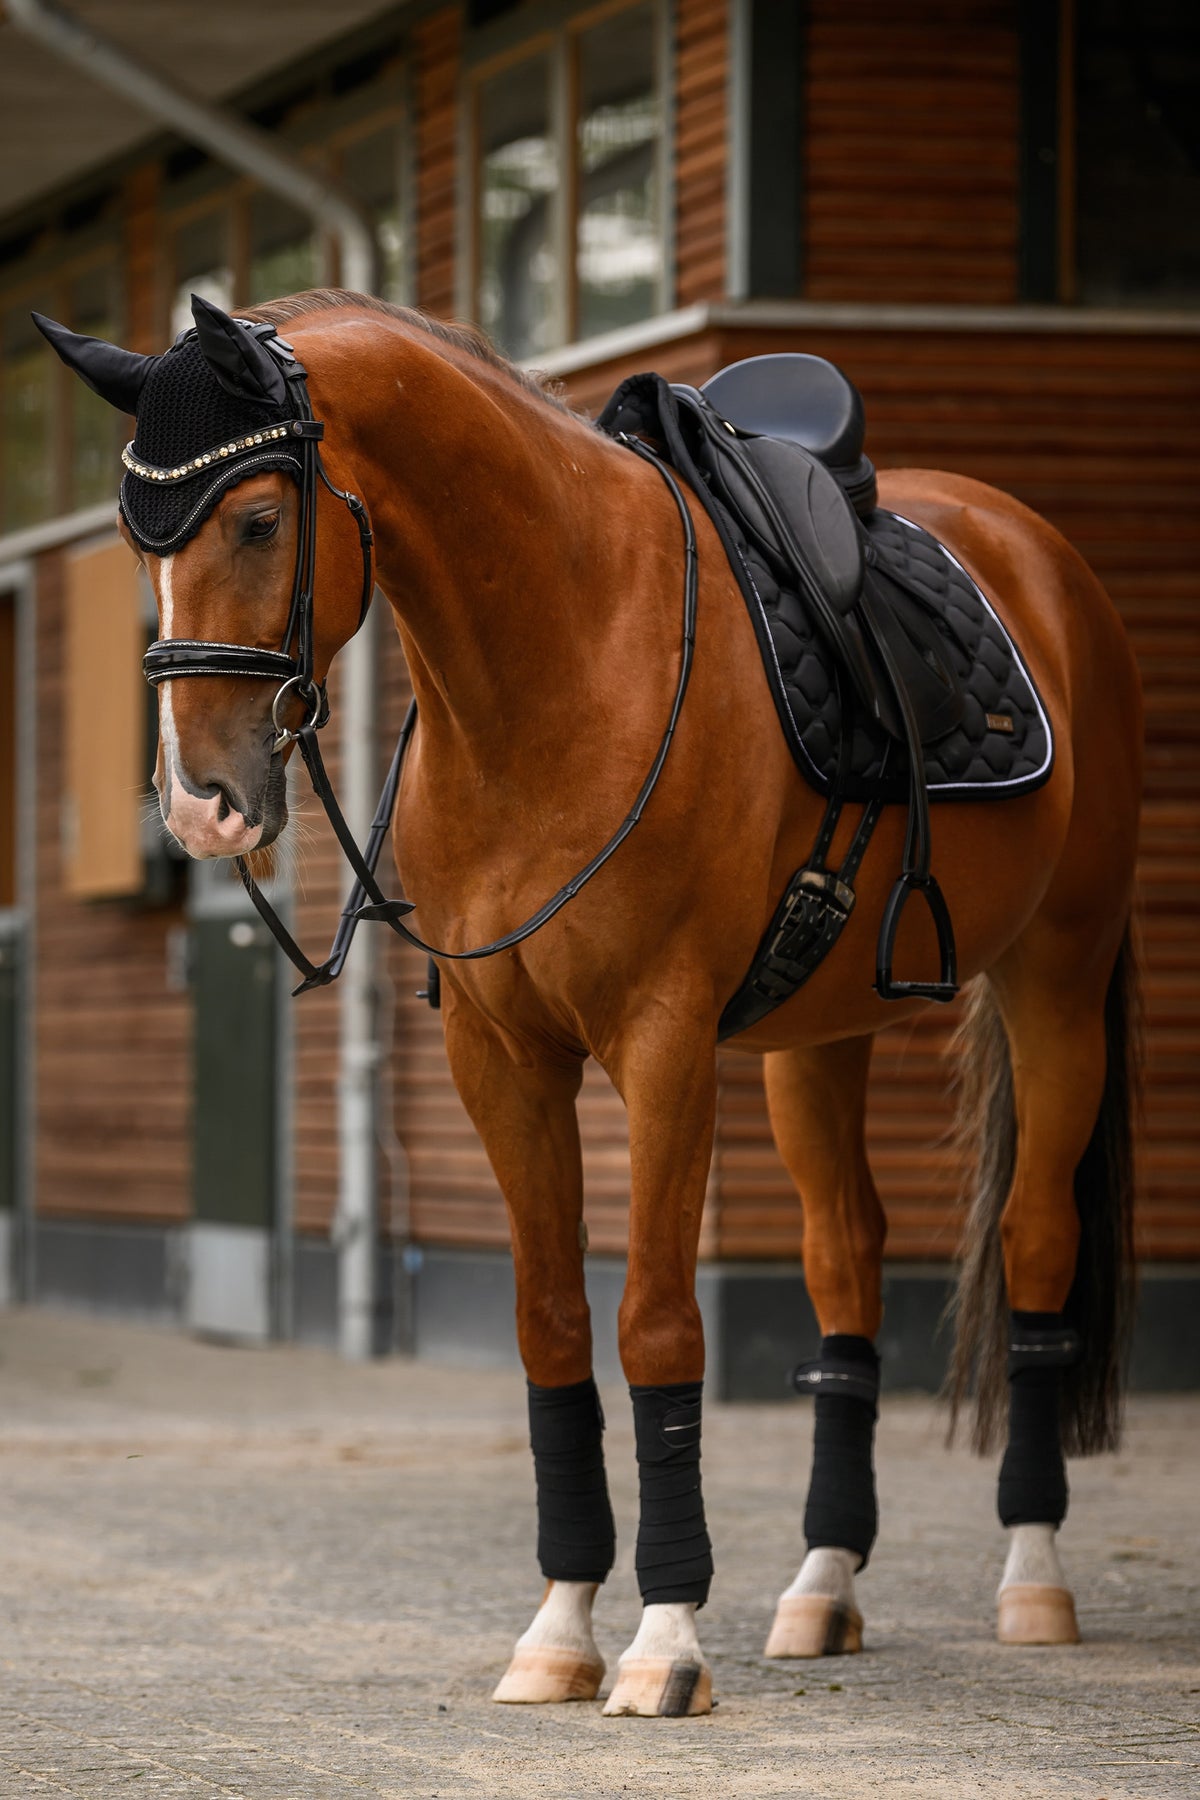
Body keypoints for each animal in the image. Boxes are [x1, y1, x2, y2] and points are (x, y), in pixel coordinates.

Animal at [38, 289, 1141, 1718]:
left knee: (1035, 1243)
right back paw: (824, 1583)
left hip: (1057, 978)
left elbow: (656, 1323)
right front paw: (562, 1627)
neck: (560, 658)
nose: (198, 805)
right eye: (135, 535)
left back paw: (1032, 1577)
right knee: (846, 1257)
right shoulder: (500, 1055)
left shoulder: (661, 1043)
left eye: (260, 521)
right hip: (819, 1037)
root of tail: (1038, 554)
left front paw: (666, 1639)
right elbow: (553, 1325)